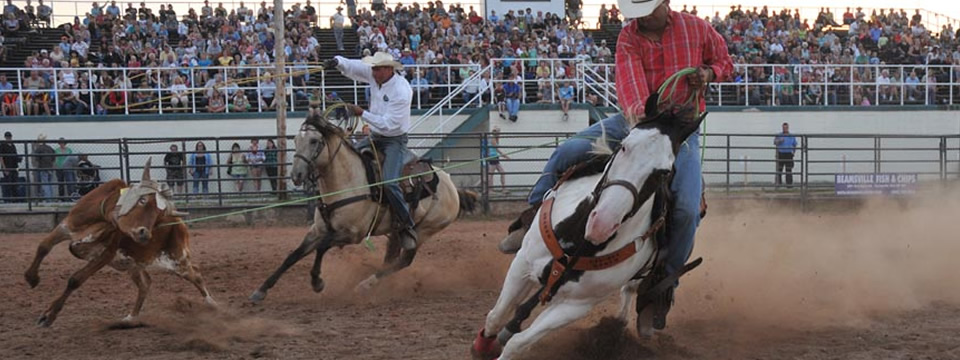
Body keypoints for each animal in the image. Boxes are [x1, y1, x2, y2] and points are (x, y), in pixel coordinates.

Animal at [23, 160, 215, 326]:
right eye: (142, 200)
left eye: (159, 216)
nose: (145, 234)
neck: (100, 217)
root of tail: (179, 223)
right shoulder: (66, 226)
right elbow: (44, 246)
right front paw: (32, 277)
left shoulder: (106, 254)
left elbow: (75, 279)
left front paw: (49, 315)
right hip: (133, 263)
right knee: (145, 284)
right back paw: (131, 317)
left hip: (175, 260)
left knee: (195, 275)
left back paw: (212, 304)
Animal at [246, 111, 474, 302]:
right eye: (295, 139)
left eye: (314, 141)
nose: (296, 175)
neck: (347, 181)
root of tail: (451, 185)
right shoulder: (317, 230)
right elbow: (293, 255)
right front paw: (261, 290)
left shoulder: (352, 234)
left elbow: (321, 248)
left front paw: (317, 282)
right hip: (397, 231)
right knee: (392, 259)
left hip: (424, 230)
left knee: (404, 260)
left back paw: (365, 284)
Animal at [472, 97, 704, 358]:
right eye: (624, 146)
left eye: (664, 172)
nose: (602, 223)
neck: (580, 241)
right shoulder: (522, 264)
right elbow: (496, 316)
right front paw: (483, 345)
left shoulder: (576, 306)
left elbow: (518, 342)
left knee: (630, 289)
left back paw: (624, 323)